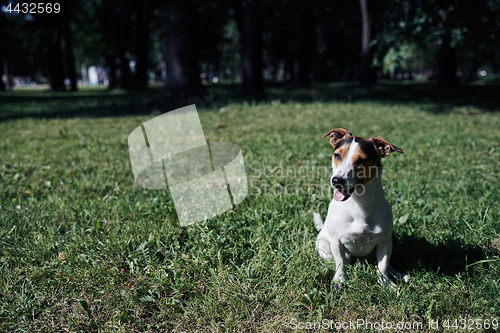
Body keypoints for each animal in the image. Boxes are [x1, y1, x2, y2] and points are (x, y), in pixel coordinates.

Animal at [314, 127, 408, 286]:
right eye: (337, 155)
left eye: (361, 160)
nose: (336, 180)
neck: (358, 203)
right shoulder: (337, 242)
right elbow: (340, 264)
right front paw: (339, 280)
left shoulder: (384, 242)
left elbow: (383, 266)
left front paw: (386, 283)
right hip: (324, 247)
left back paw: (398, 274)